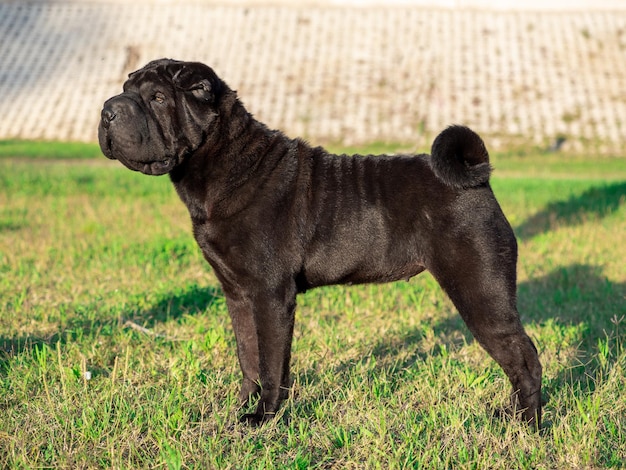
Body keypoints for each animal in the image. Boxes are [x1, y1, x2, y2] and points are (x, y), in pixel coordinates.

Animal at [98, 57, 540, 426]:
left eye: (157, 98)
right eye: (125, 87)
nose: (107, 110)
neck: (224, 165)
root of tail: (478, 174)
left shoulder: (270, 295)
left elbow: (272, 363)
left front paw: (263, 418)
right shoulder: (238, 294)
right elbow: (248, 357)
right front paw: (240, 410)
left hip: (480, 291)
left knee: (524, 357)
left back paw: (526, 425)